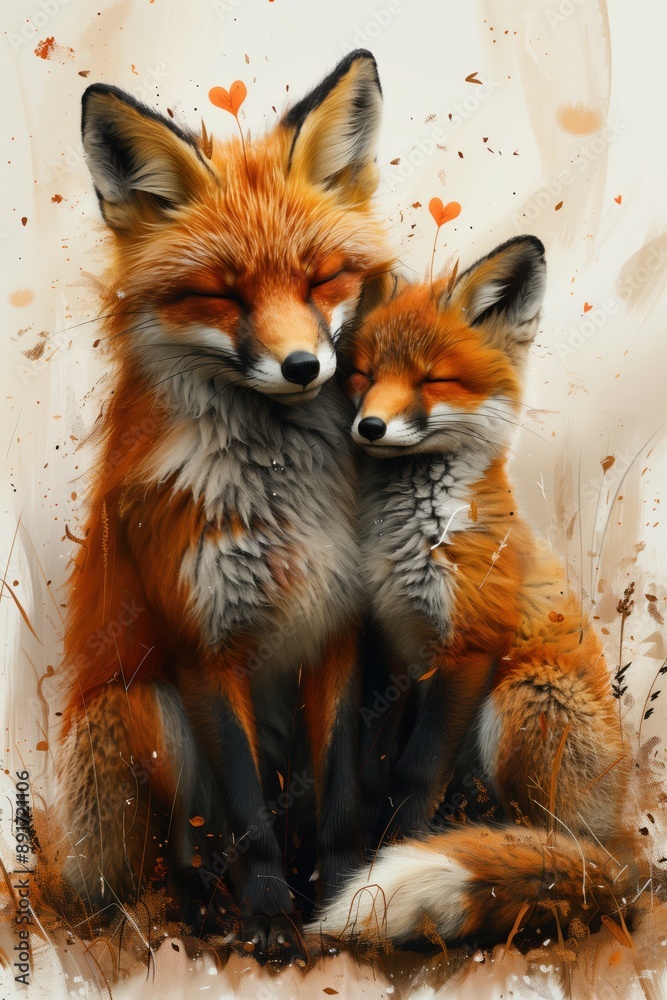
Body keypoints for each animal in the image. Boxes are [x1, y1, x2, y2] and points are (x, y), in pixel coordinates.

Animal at [57, 50, 394, 959]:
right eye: (223, 294)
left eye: (321, 278)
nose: (303, 367)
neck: (276, 500)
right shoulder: (201, 642)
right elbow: (243, 810)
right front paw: (271, 917)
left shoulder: (338, 623)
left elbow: (342, 790)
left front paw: (341, 896)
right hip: (145, 708)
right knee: (181, 847)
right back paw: (205, 909)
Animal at [310, 236, 639, 947]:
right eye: (363, 376)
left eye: (433, 380)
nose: (368, 427)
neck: (410, 537)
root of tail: (633, 847)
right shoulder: (392, 648)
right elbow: (379, 764)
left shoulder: (468, 646)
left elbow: (414, 773)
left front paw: (392, 854)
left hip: (526, 693)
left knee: (555, 844)